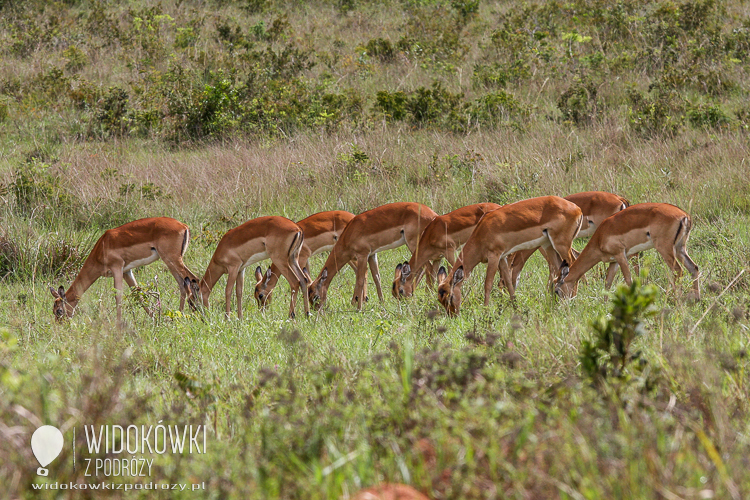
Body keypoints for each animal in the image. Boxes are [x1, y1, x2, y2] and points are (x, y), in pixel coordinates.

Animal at [49, 218, 203, 324]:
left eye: (59, 310)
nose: (60, 326)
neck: (101, 247)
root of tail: (183, 226)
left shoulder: (117, 268)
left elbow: (118, 296)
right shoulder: (126, 272)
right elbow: (138, 294)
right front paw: (155, 319)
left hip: (172, 259)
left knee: (193, 279)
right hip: (171, 262)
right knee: (182, 284)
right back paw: (179, 315)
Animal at [254, 210, 382, 308]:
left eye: (260, 295)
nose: (263, 309)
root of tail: (353, 217)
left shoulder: (301, 258)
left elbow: (302, 280)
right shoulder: (306, 260)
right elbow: (307, 278)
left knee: (364, 271)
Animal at [310, 201, 440, 310]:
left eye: (315, 296)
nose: (314, 311)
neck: (349, 234)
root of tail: (434, 215)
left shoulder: (362, 255)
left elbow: (360, 280)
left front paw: (358, 308)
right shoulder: (372, 255)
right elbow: (377, 277)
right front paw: (382, 303)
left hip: (414, 245)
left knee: (428, 269)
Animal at [438, 196, 584, 316]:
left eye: (450, 297)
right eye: (440, 300)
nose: (453, 315)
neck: (482, 232)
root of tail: (577, 209)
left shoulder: (494, 256)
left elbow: (488, 284)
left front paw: (485, 311)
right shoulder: (502, 258)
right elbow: (509, 283)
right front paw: (516, 308)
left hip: (562, 245)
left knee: (573, 263)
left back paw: (572, 298)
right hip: (549, 246)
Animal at [556, 204, 704, 300]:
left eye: (556, 290)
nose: (563, 306)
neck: (600, 237)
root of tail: (684, 216)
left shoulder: (621, 255)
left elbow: (628, 280)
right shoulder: (614, 261)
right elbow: (608, 283)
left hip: (665, 249)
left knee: (678, 271)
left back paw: (676, 299)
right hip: (680, 248)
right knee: (693, 268)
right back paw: (696, 299)